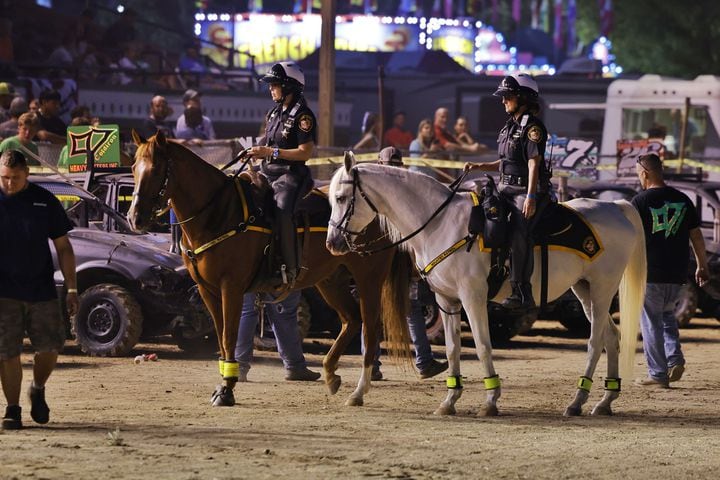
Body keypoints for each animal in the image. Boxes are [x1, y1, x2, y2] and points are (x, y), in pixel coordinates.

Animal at [129, 132, 408, 408]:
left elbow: (229, 336)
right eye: (133, 167)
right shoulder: (207, 290)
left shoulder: (231, 287)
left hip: (369, 277)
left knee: (370, 329)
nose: (135, 218)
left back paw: (359, 390)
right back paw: (330, 373)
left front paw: (226, 390)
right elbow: (220, 336)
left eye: (155, 170)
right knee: (351, 319)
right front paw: (223, 384)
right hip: (331, 280)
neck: (218, 213)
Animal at [326, 154, 648, 416]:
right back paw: (604, 401)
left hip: (602, 289)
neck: (439, 224)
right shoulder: (446, 300)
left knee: (595, 342)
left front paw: (491, 399)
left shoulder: (473, 297)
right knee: (611, 337)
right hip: (584, 291)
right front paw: (449, 400)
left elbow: (482, 345)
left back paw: (577, 400)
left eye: (341, 198)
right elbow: (453, 348)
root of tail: (615, 206)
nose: (332, 243)